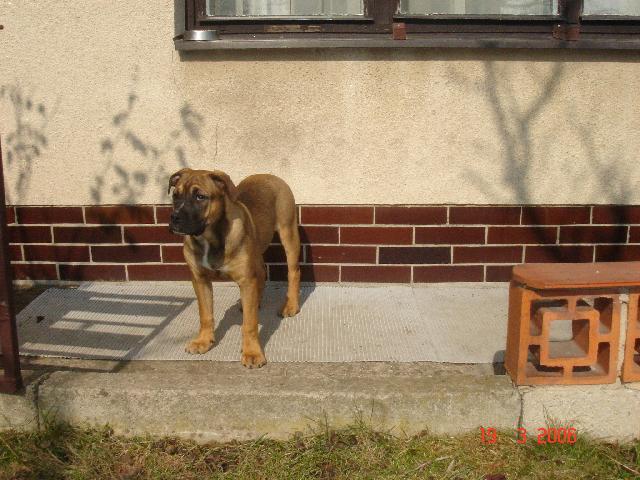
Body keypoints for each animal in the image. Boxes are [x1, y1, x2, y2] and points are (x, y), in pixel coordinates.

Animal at [168, 169, 302, 368]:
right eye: (175, 196)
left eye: (200, 197)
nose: (175, 217)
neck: (210, 238)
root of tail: (268, 174)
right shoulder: (200, 279)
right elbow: (205, 314)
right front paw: (203, 341)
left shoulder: (246, 280)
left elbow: (250, 324)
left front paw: (252, 352)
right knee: (261, 273)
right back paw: (255, 301)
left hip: (289, 232)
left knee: (293, 272)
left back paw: (291, 305)